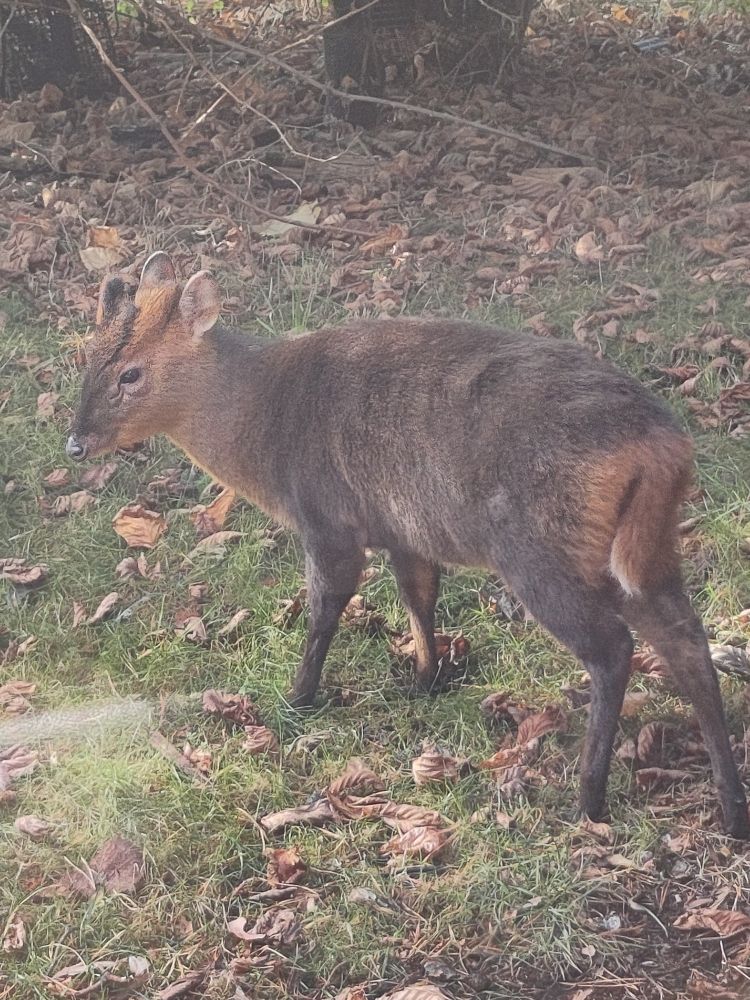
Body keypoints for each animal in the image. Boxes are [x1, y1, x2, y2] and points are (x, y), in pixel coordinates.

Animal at [66, 251, 749, 838]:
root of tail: (663, 447)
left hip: (539, 550)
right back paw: (731, 805)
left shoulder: (328, 516)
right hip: (642, 551)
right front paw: (424, 679)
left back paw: (589, 798)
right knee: (686, 641)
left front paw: (297, 700)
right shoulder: (403, 528)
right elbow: (419, 596)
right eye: (86, 354)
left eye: (131, 372)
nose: (75, 442)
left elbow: (326, 608)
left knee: (613, 648)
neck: (263, 425)